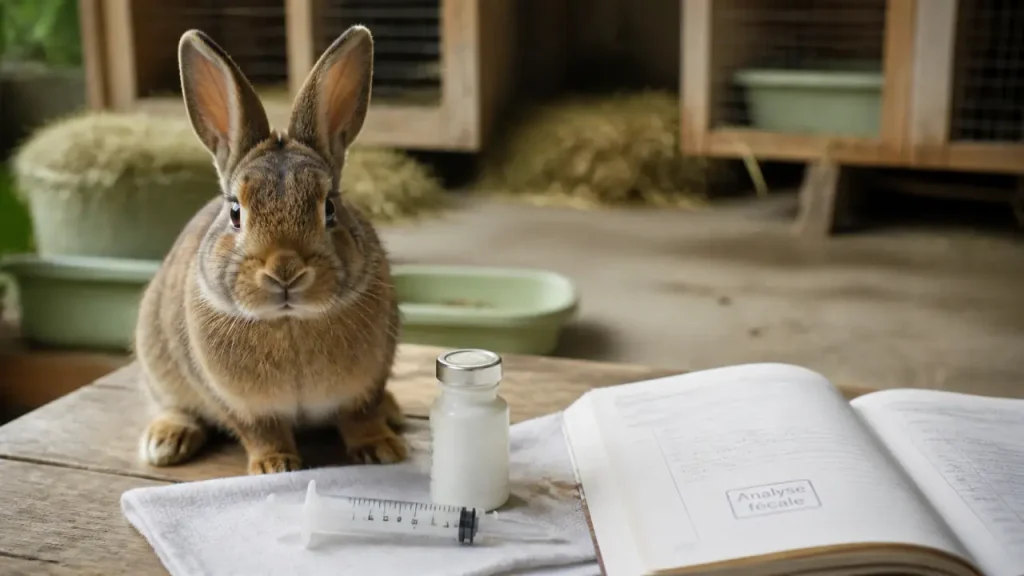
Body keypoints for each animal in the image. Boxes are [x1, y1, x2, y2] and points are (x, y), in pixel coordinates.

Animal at [133, 25, 408, 475]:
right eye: (235, 212)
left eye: (329, 208)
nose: (285, 270)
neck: (290, 320)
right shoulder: (239, 404)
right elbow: (261, 431)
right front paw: (275, 465)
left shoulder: (367, 382)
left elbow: (359, 416)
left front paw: (382, 449)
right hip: (157, 359)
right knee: (173, 405)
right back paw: (166, 442)